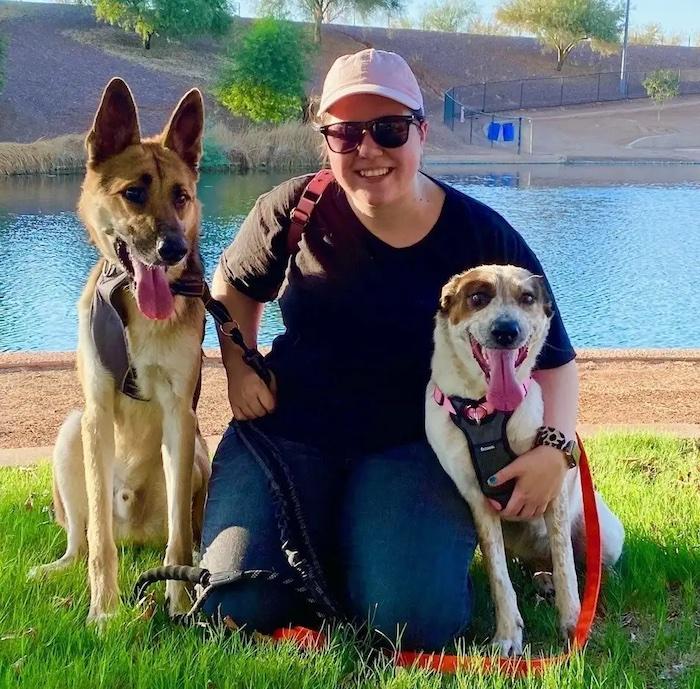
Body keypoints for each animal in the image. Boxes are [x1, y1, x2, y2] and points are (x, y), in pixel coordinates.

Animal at [426, 264, 624, 656]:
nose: (506, 331)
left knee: (585, 562)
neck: (482, 410)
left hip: (606, 534)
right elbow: (500, 578)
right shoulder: (477, 499)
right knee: (535, 563)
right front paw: (508, 634)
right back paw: (541, 578)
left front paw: (574, 624)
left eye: (527, 298)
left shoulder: (552, 490)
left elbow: (567, 569)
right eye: (478, 297)